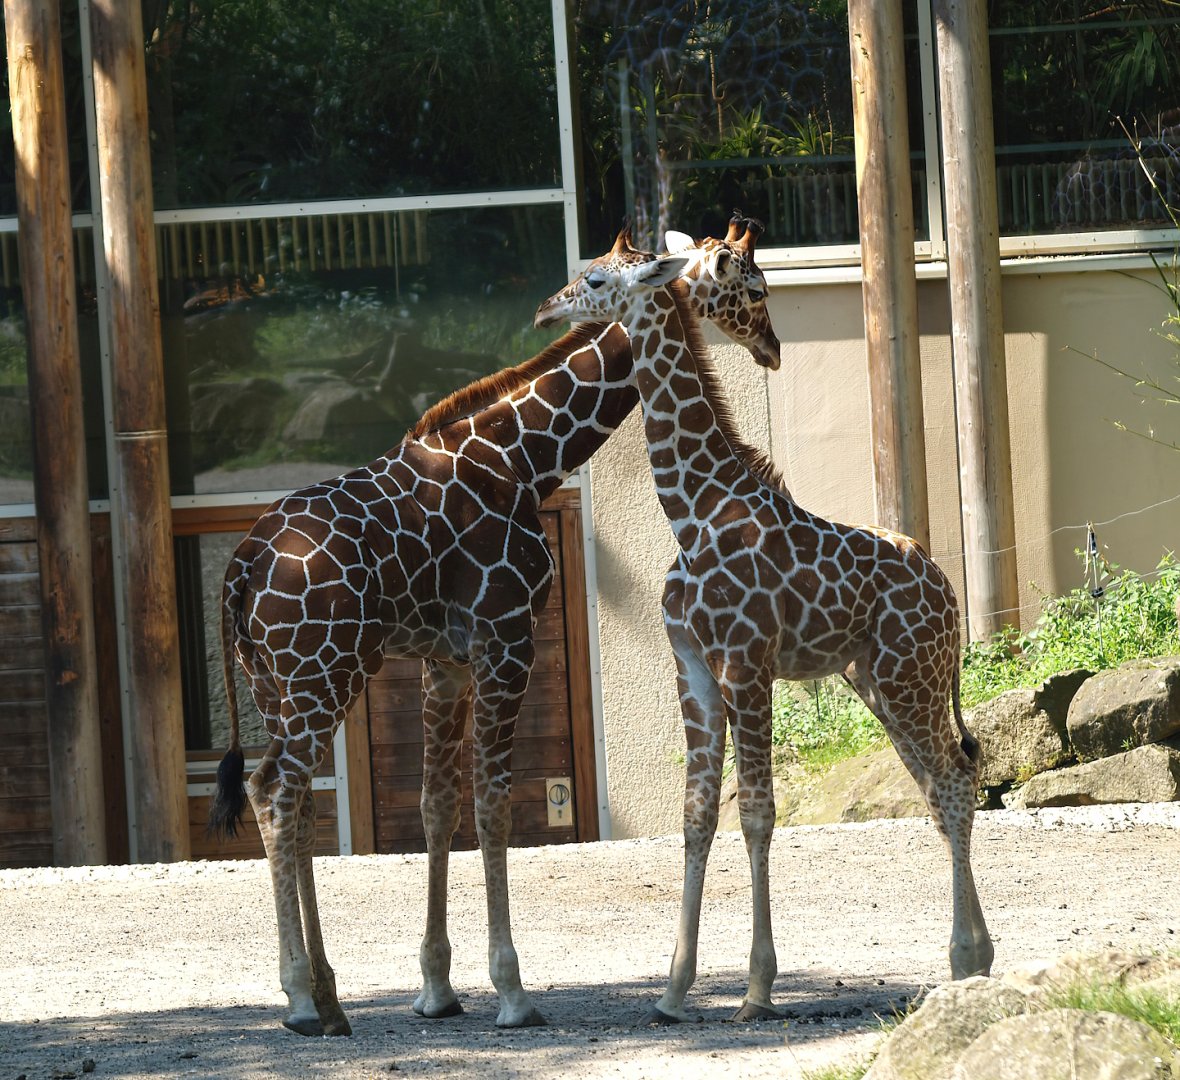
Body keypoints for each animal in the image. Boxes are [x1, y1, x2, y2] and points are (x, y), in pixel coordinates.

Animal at [207, 220, 781, 1036]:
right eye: (749, 285)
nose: (771, 345)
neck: (527, 457)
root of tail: (242, 564)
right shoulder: (506, 635)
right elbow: (496, 803)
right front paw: (511, 992)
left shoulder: (444, 658)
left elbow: (438, 804)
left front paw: (438, 990)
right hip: (322, 674)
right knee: (278, 791)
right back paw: (300, 1000)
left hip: (281, 682)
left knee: (284, 793)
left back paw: (330, 996)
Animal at [534, 236, 993, 1024]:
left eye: (594, 279)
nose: (544, 309)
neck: (693, 514)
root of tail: (948, 592)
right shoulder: (691, 668)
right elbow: (695, 816)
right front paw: (672, 990)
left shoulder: (746, 663)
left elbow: (755, 811)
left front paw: (756, 988)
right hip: (880, 680)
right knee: (941, 784)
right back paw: (976, 958)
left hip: (910, 674)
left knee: (956, 778)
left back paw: (964, 960)